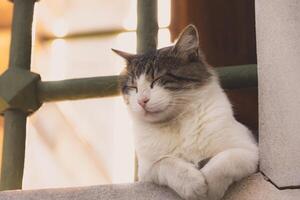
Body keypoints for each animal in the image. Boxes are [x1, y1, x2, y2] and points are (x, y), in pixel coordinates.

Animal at [112, 25, 258, 200]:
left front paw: (211, 188)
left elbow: (225, 160)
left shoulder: (250, 150)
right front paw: (193, 185)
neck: (177, 122)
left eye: (157, 80)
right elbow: (165, 162)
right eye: (133, 87)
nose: (142, 101)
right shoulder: (145, 172)